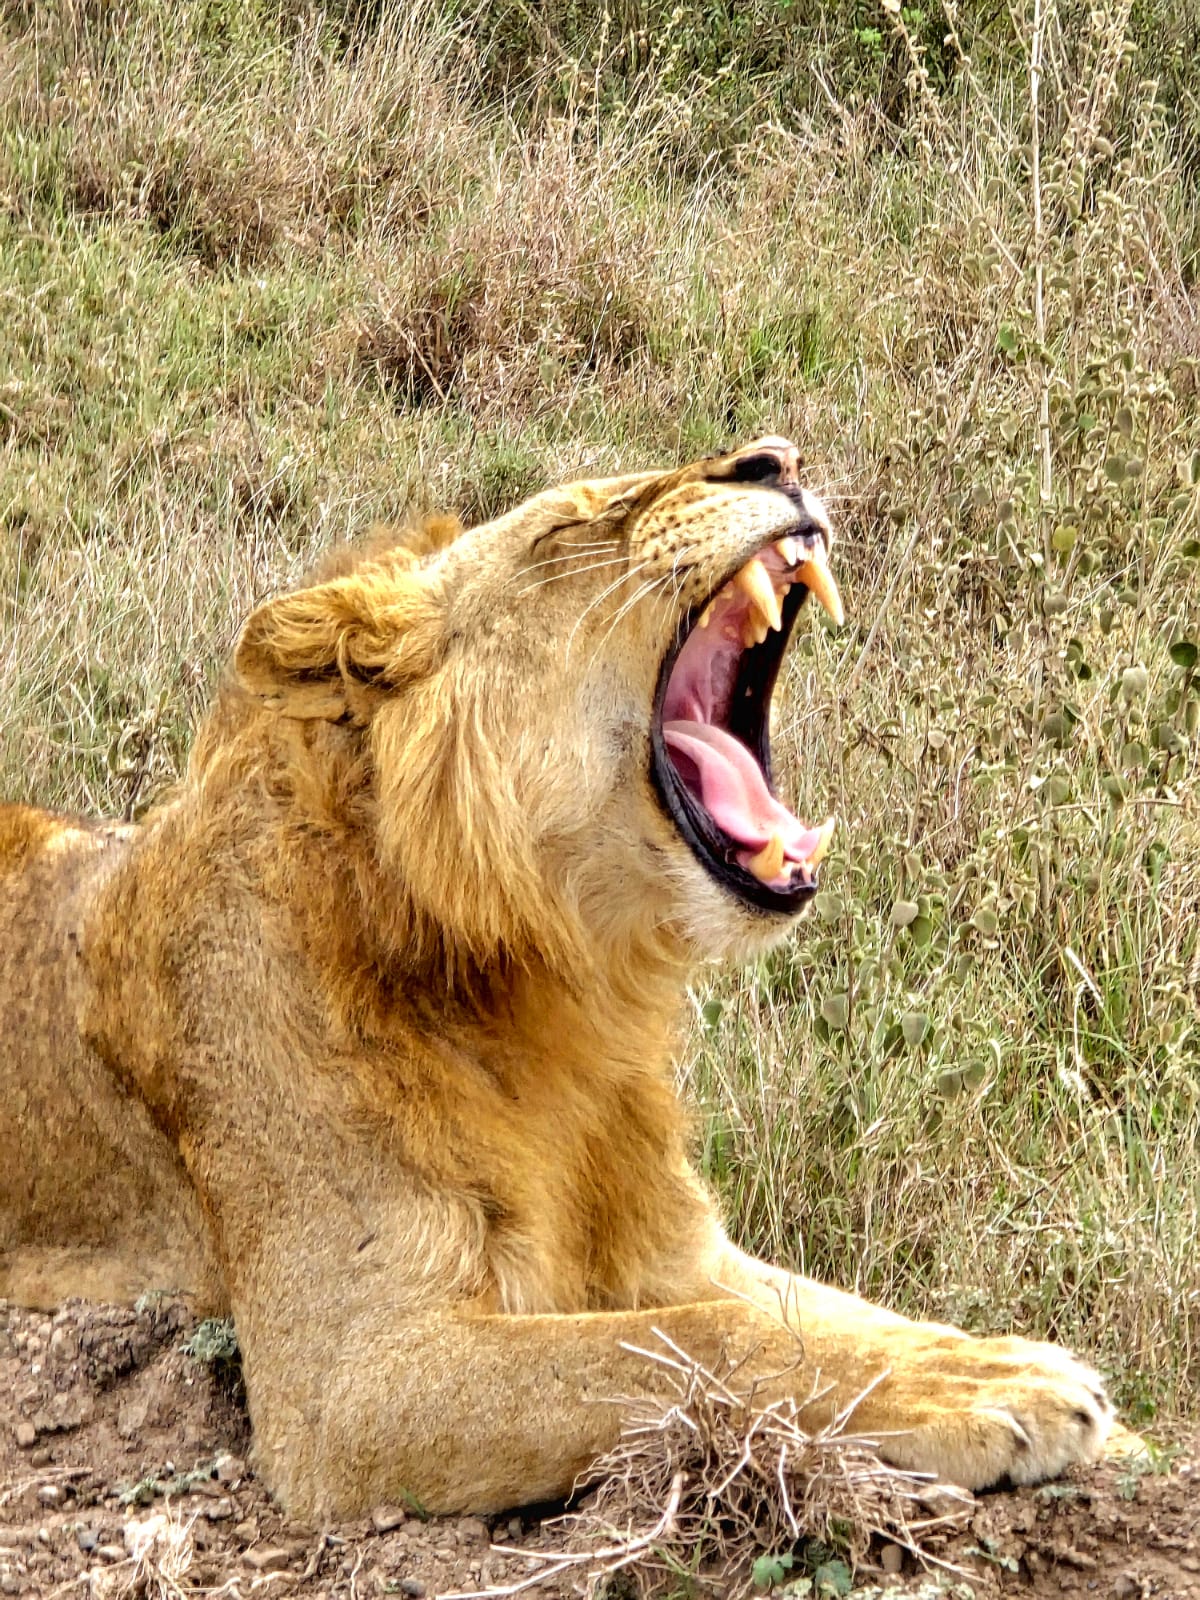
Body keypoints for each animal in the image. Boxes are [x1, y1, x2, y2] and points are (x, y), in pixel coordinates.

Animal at [1, 436, 1122, 1519]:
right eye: (571, 528)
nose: (781, 460)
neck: (561, 985)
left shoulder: (686, 1249)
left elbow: (833, 1315)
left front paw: (1029, 1382)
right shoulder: (352, 1379)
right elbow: (695, 1342)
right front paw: (983, 1394)